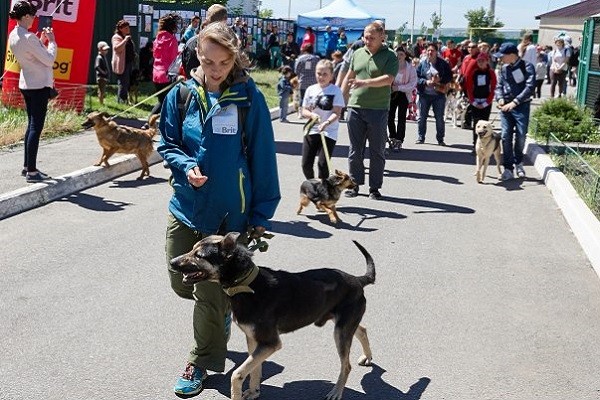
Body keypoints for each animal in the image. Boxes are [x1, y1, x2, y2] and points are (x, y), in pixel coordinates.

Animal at [169, 231, 376, 400]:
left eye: (199, 255)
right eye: (192, 248)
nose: (171, 262)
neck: (246, 285)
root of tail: (357, 280)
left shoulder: (270, 343)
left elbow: (238, 374)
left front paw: (238, 394)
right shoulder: (254, 340)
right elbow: (254, 370)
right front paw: (254, 392)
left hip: (341, 331)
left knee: (346, 365)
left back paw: (336, 392)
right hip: (343, 324)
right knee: (363, 329)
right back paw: (367, 357)